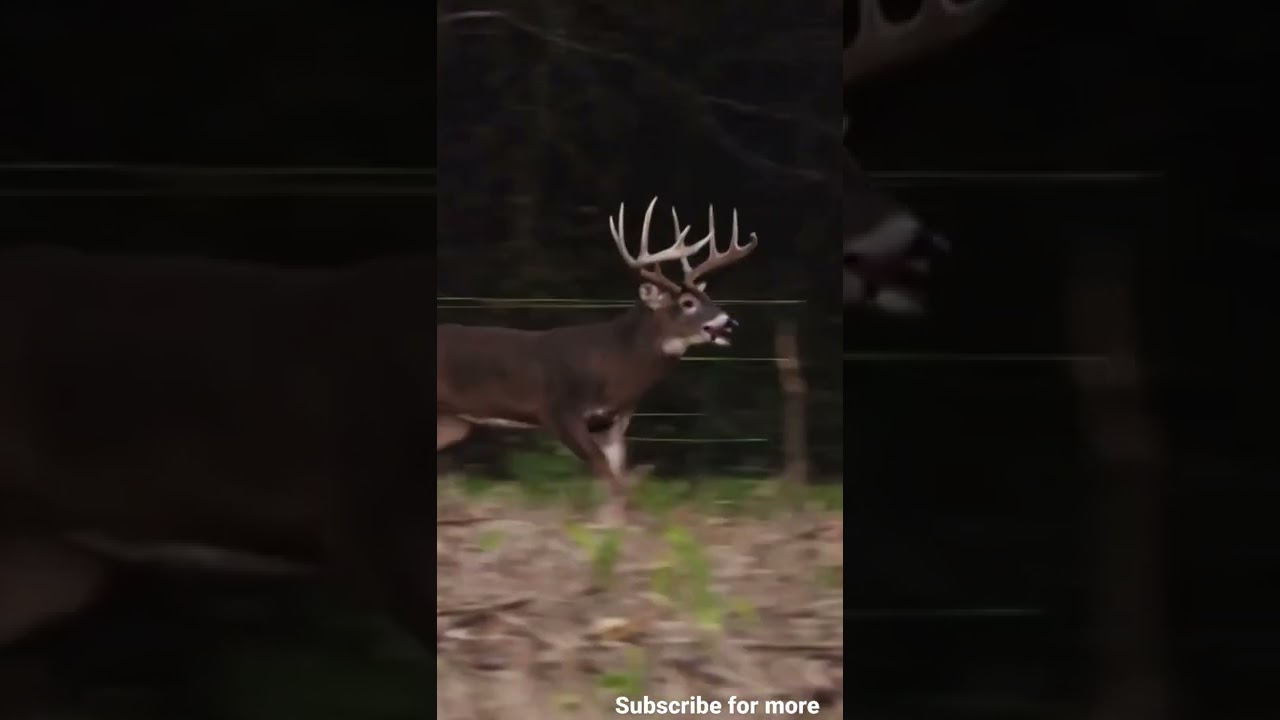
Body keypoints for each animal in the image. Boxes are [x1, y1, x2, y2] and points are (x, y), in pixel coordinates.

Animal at [437, 197, 758, 524]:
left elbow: (618, 477)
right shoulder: (557, 411)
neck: (614, 364)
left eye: (709, 298)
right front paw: (607, 527)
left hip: (452, 421)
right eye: (687, 303)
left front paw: (615, 524)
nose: (729, 323)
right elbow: (607, 474)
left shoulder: (612, 422)